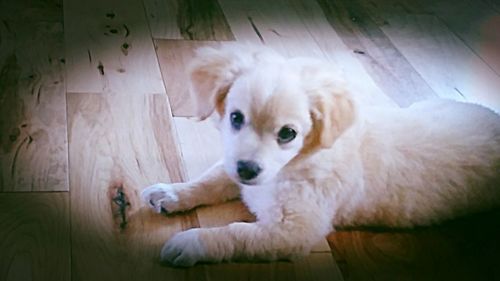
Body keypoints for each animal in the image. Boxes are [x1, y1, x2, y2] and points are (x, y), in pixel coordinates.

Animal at [140, 43, 500, 264]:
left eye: (288, 134)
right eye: (236, 118)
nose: (247, 170)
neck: (292, 166)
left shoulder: (293, 232)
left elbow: (236, 233)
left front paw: (193, 243)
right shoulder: (236, 166)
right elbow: (209, 181)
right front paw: (172, 193)